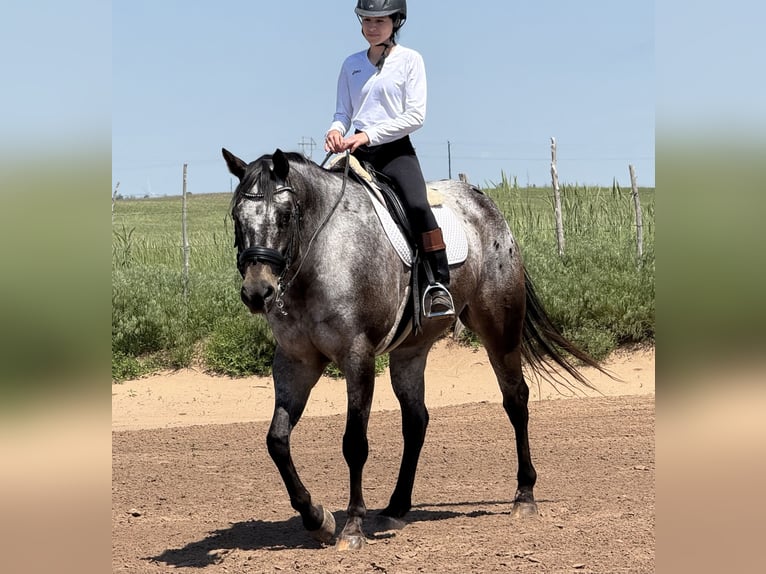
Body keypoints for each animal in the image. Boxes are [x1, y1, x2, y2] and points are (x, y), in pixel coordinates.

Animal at [222, 147, 606, 551]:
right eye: (236, 217)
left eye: (284, 216)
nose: (257, 292)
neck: (320, 258)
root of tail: (484, 203)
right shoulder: (295, 363)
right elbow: (277, 441)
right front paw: (317, 519)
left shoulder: (357, 358)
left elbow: (354, 443)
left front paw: (352, 527)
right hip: (410, 350)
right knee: (416, 420)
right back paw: (396, 506)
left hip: (499, 328)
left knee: (515, 400)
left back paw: (524, 496)